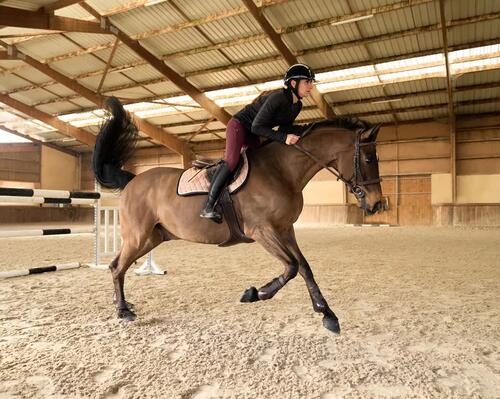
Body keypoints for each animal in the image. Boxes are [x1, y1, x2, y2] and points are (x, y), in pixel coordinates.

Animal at [93, 97, 382, 334]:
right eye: (369, 160)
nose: (377, 204)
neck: (281, 171)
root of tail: (132, 179)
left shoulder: (285, 229)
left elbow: (304, 267)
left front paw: (327, 314)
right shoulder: (262, 230)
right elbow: (291, 266)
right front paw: (254, 293)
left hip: (153, 237)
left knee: (116, 265)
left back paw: (122, 303)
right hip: (138, 236)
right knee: (117, 266)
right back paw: (123, 310)